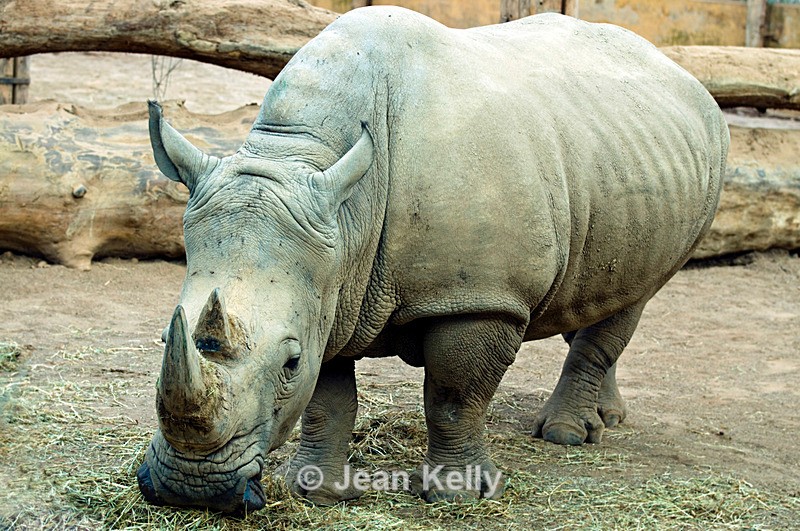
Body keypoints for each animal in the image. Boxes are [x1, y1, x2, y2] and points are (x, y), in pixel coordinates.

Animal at [136, 6, 729, 513]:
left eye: (289, 363)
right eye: (165, 339)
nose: (192, 490)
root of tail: (681, 72)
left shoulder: (478, 296)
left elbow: (453, 394)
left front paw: (458, 497)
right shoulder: (331, 286)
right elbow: (329, 399)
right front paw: (317, 492)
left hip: (701, 161)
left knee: (634, 297)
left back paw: (566, 436)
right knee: (594, 289)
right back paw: (608, 417)